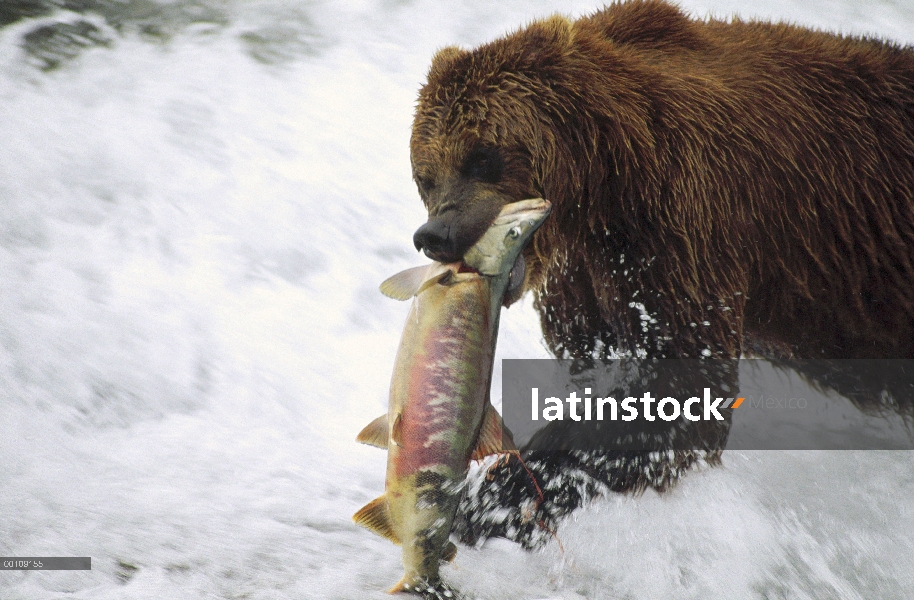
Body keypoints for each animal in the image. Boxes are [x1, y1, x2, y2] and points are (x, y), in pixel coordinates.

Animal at [410, 0, 912, 544]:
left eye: (482, 155)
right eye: (425, 175)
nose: (437, 234)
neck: (599, 180)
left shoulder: (677, 216)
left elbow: (682, 389)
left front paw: (492, 499)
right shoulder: (588, 274)